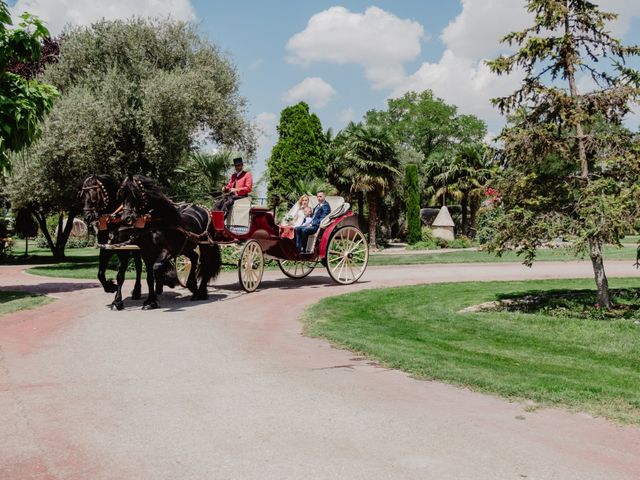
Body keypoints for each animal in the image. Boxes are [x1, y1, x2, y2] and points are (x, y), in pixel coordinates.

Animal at [80, 174, 143, 310]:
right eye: (82, 195)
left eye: (93, 194)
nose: (87, 217)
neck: (114, 221)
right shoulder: (106, 249)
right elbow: (100, 274)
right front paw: (110, 287)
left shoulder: (125, 251)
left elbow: (120, 276)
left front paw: (117, 300)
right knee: (139, 267)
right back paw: (137, 291)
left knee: (140, 267)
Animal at [118, 174, 222, 310]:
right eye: (122, 194)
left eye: (135, 193)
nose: (126, 218)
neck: (157, 224)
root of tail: (204, 209)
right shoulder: (147, 253)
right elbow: (150, 277)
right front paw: (151, 301)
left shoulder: (167, 251)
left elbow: (157, 267)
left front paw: (166, 282)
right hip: (187, 247)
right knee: (194, 258)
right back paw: (192, 286)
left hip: (205, 246)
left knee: (205, 265)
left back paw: (200, 292)